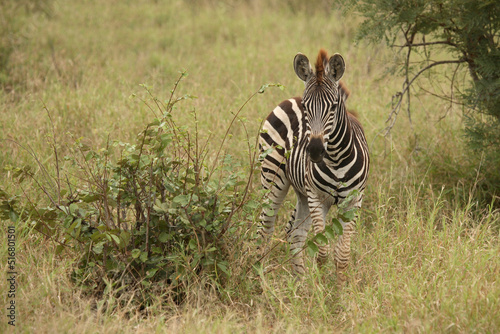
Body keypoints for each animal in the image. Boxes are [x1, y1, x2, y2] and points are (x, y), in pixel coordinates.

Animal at [260, 47, 370, 276]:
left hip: (302, 193)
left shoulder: (354, 200)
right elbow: (322, 253)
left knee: (294, 232)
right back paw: (259, 276)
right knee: (265, 229)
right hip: (273, 178)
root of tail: (289, 99)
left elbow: (342, 256)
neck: (336, 159)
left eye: (334, 106)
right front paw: (320, 284)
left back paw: (300, 281)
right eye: (306, 106)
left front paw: (337, 286)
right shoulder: (317, 197)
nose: (315, 150)